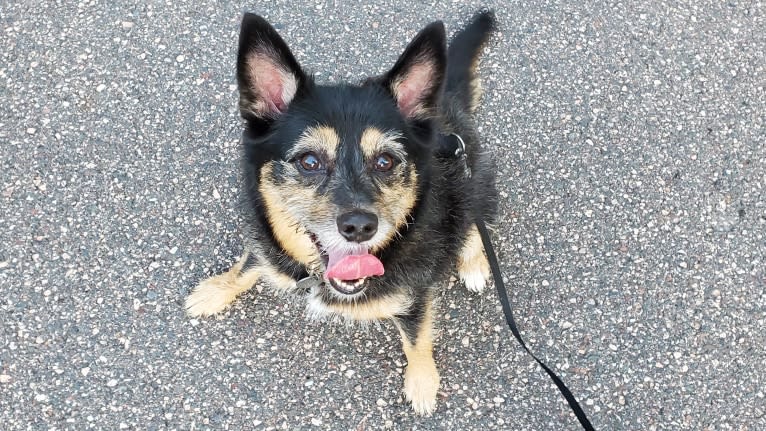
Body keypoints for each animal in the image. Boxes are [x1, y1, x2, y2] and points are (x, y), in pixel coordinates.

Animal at [186, 11, 498, 416]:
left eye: (385, 161)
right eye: (309, 161)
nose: (360, 226)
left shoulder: (415, 296)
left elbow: (416, 339)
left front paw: (422, 382)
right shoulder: (268, 247)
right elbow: (248, 264)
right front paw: (217, 289)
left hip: (474, 182)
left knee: (476, 223)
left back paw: (474, 262)